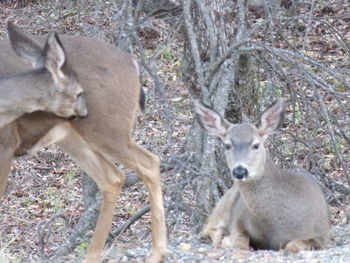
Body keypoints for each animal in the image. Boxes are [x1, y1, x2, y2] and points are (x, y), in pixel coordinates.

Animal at [0, 23, 167, 262]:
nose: (83, 109)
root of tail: (132, 62)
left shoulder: (6, 143)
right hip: (72, 136)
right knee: (113, 177)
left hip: (108, 129)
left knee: (148, 162)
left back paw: (156, 252)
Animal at [194, 100, 330, 253]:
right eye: (227, 145)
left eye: (256, 145)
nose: (239, 171)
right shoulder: (239, 220)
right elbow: (240, 242)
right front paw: (228, 241)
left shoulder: (321, 235)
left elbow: (293, 246)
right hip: (224, 204)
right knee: (207, 227)